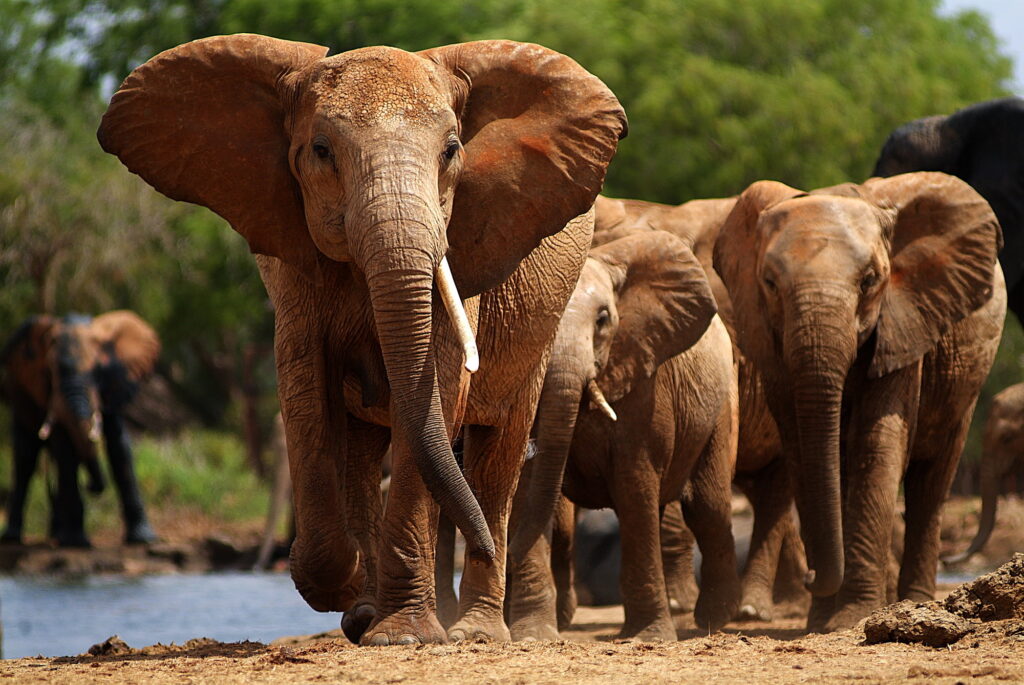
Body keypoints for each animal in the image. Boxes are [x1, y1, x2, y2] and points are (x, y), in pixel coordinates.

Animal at [0, 310, 160, 547]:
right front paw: (75, 542)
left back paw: (56, 533)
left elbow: (119, 447)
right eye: (50, 371)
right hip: (19, 397)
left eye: (99, 371)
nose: (91, 487)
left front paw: (143, 538)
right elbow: (65, 448)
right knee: (26, 457)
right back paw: (15, 537)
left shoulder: (112, 389)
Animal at [98, 35, 626, 645]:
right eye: (321, 150)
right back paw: (369, 604)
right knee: (364, 448)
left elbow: (435, 390)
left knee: (499, 449)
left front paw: (402, 635)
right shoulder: (289, 256)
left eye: (452, 151)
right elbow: (305, 389)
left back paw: (474, 631)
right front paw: (350, 592)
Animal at [507, 230, 741, 641]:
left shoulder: (647, 387)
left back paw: (714, 619)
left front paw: (649, 637)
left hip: (721, 405)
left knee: (707, 507)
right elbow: (526, 490)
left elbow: (634, 486)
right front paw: (533, 636)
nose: (503, 553)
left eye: (603, 320)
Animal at [713, 172, 1006, 633]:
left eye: (869, 281)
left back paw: (915, 602)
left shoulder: (903, 321)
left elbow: (877, 441)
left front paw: (851, 617)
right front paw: (823, 620)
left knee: (933, 478)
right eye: (770, 283)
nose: (812, 576)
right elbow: (802, 450)